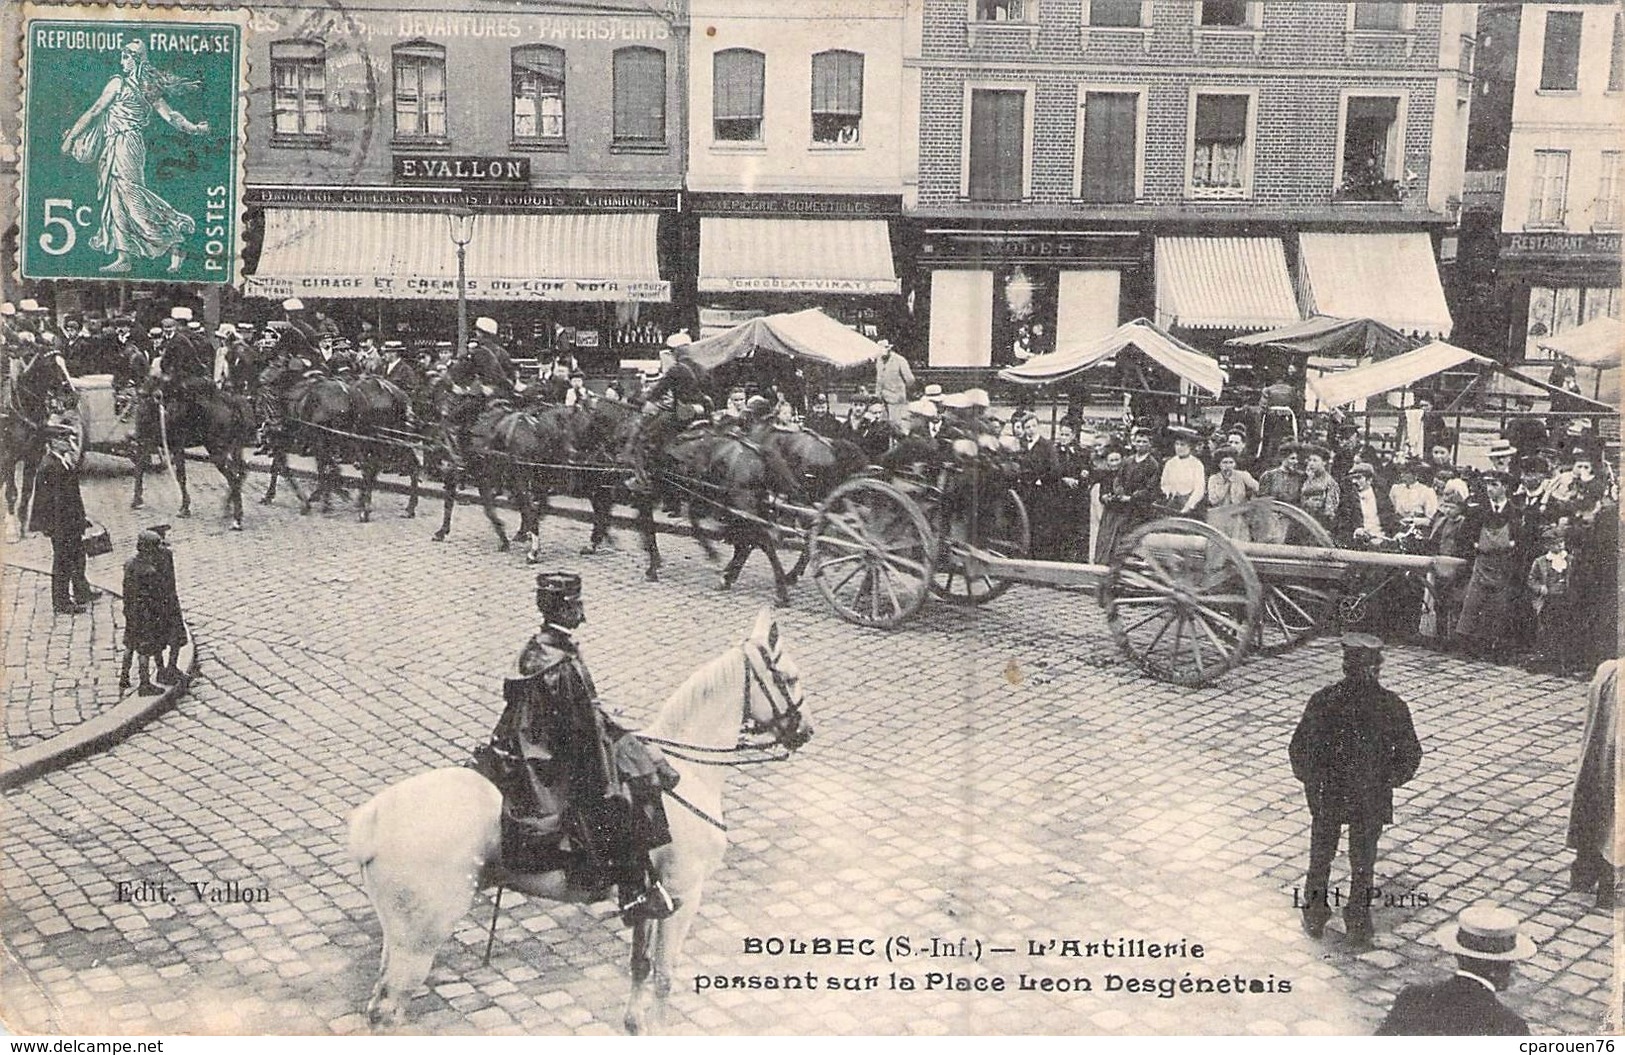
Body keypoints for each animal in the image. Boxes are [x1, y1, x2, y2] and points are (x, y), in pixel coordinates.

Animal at [128, 377, 253, 526]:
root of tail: (232, 403)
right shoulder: (149, 444)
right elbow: (140, 469)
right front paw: (137, 500)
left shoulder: (167, 446)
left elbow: (179, 476)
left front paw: (184, 508)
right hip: (233, 449)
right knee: (240, 473)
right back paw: (228, 508)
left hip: (217, 452)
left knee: (234, 478)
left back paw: (236, 519)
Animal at [351, 607, 819, 1027]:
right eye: (790, 678)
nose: (806, 731)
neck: (687, 776)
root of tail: (372, 821)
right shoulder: (684, 896)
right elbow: (664, 978)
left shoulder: (648, 900)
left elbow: (639, 966)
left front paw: (634, 1024)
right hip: (419, 940)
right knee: (388, 1011)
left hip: (398, 939)